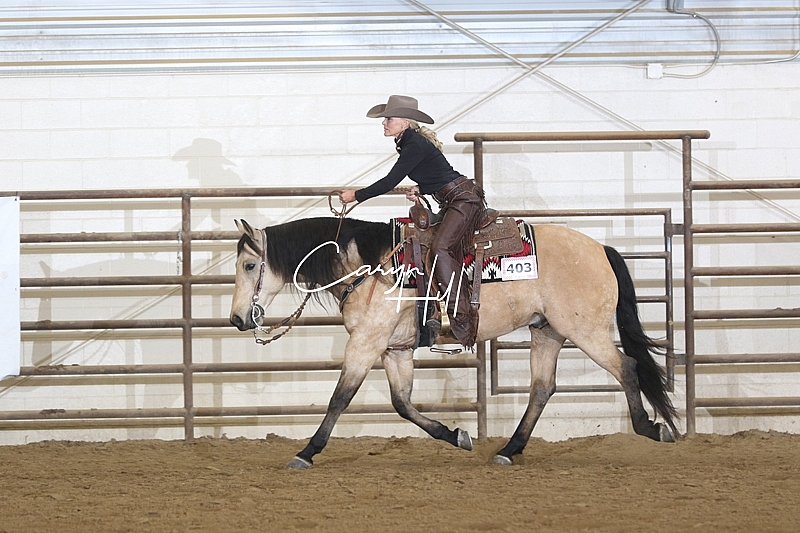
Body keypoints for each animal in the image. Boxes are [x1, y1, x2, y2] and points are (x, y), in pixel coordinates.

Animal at [229, 216, 678, 468]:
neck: (372, 267)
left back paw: (652, 429)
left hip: (586, 332)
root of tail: (601, 249)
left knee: (627, 368)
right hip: (547, 331)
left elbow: (340, 398)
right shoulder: (393, 350)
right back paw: (508, 450)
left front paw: (306, 452)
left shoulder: (365, 344)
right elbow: (403, 404)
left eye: (250, 265)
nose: (236, 319)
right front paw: (457, 436)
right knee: (542, 388)